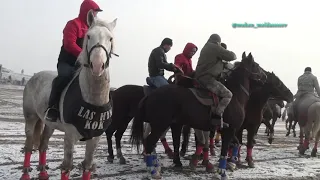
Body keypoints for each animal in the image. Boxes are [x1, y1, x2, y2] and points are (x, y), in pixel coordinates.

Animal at [20, 10, 117, 180]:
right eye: (89, 36)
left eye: (110, 38)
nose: (97, 65)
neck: (93, 98)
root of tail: (34, 76)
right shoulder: (70, 136)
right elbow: (66, 167)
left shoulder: (95, 138)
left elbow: (87, 166)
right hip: (30, 118)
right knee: (29, 144)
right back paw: (25, 174)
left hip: (49, 124)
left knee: (43, 144)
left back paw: (43, 172)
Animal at [130, 51, 268, 179]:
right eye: (256, 65)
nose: (265, 76)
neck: (235, 97)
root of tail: (150, 95)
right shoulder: (229, 129)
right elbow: (225, 149)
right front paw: (222, 172)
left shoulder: (228, 130)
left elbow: (236, 144)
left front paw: (232, 162)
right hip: (160, 125)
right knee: (149, 142)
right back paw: (153, 171)